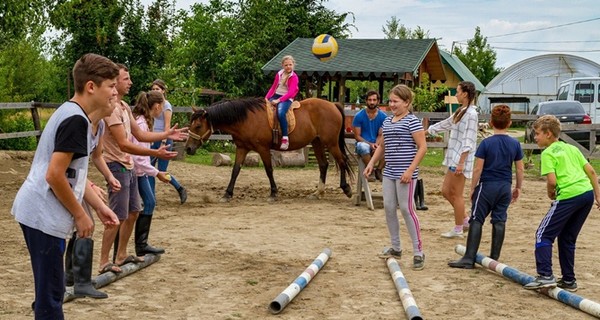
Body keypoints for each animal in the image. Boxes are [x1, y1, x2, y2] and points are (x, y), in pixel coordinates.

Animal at [185, 97, 354, 200]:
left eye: (198, 126)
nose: (188, 148)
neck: (246, 119)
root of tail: (333, 105)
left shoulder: (263, 149)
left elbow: (269, 170)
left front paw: (273, 193)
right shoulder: (242, 148)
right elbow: (235, 171)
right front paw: (227, 193)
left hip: (331, 143)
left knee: (342, 161)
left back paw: (346, 188)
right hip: (317, 142)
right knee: (323, 165)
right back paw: (318, 192)